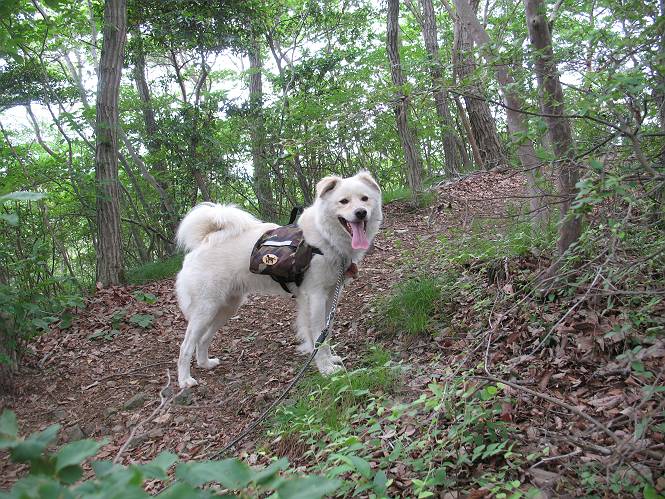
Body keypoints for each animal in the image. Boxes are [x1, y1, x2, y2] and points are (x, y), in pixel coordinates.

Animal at [175, 171, 382, 388]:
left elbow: (326, 333)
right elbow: (318, 335)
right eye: (344, 201)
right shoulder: (315, 297)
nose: (361, 213)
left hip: (226, 308)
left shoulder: (331, 295)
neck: (325, 239)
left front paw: (328, 358)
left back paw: (205, 363)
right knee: (185, 346)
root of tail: (204, 241)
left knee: (203, 339)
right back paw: (185, 380)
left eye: (364, 199)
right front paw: (326, 369)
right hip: (206, 309)